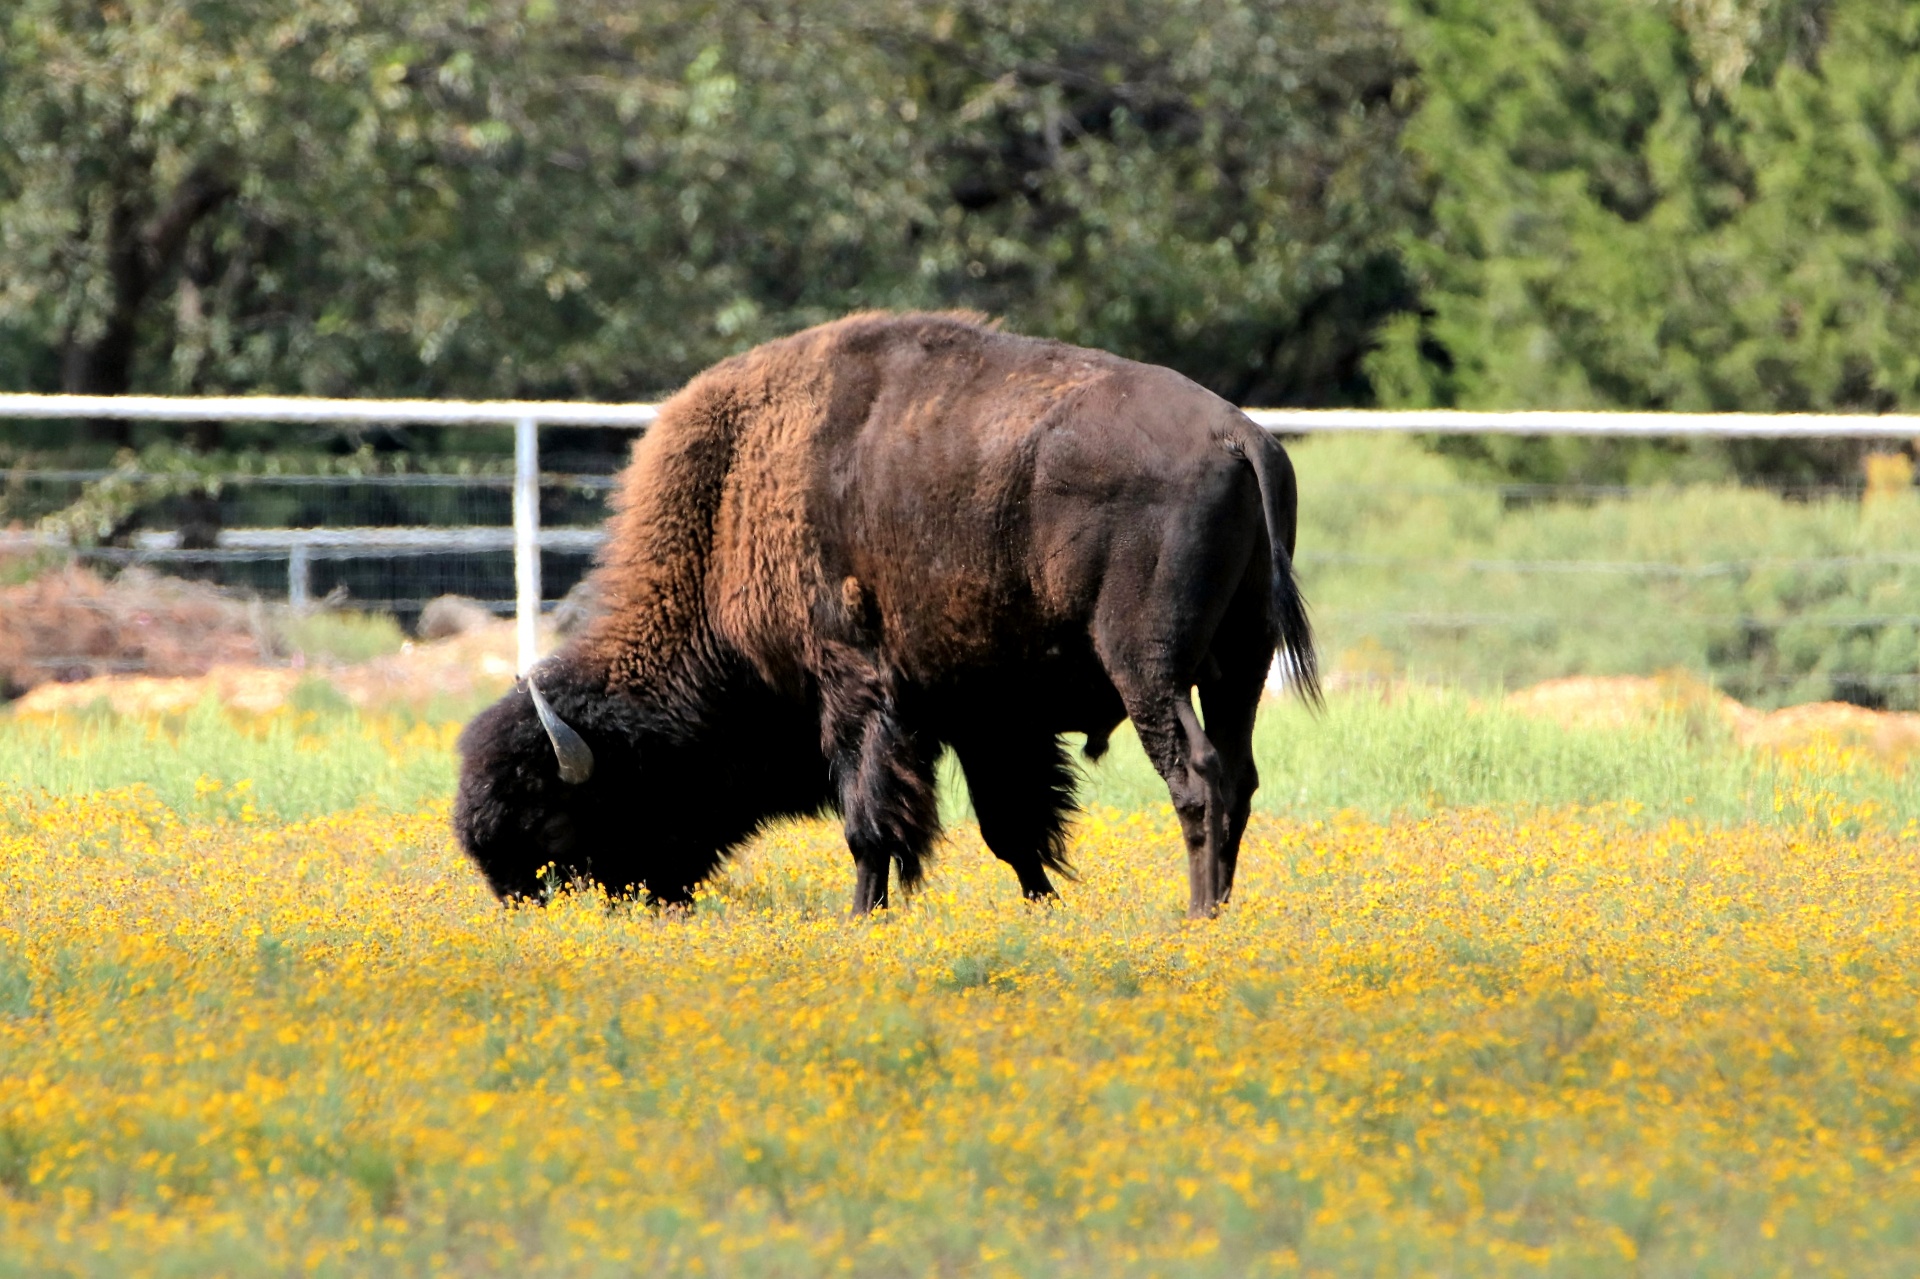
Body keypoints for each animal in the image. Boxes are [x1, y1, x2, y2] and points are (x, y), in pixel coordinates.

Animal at [453, 309, 1320, 910]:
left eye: (559, 818)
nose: (532, 906)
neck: (735, 498)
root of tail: (1238, 437)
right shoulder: (982, 714)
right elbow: (1012, 827)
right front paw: (1044, 911)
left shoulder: (859, 688)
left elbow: (871, 822)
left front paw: (860, 919)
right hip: (1239, 664)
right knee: (1239, 775)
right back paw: (1220, 909)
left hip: (1149, 667)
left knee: (1198, 777)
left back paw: (1197, 915)